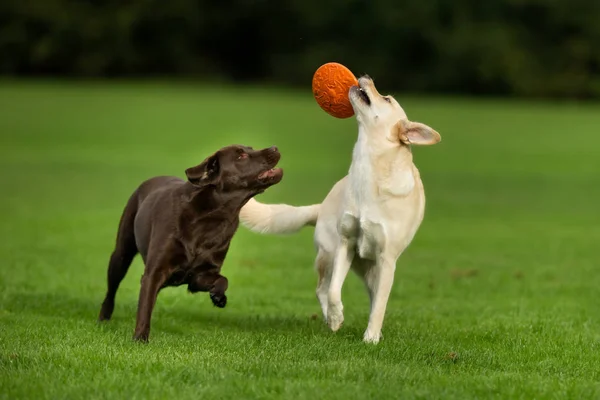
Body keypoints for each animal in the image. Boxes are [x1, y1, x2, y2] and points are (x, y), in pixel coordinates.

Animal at [239, 76, 440, 344]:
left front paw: (371, 338)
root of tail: (321, 206)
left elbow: (380, 305)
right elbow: (335, 291)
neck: (368, 168)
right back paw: (330, 318)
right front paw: (336, 318)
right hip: (330, 253)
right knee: (322, 288)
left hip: (371, 270)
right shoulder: (346, 243)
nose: (366, 77)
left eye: (387, 99)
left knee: (372, 296)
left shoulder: (386, 260)